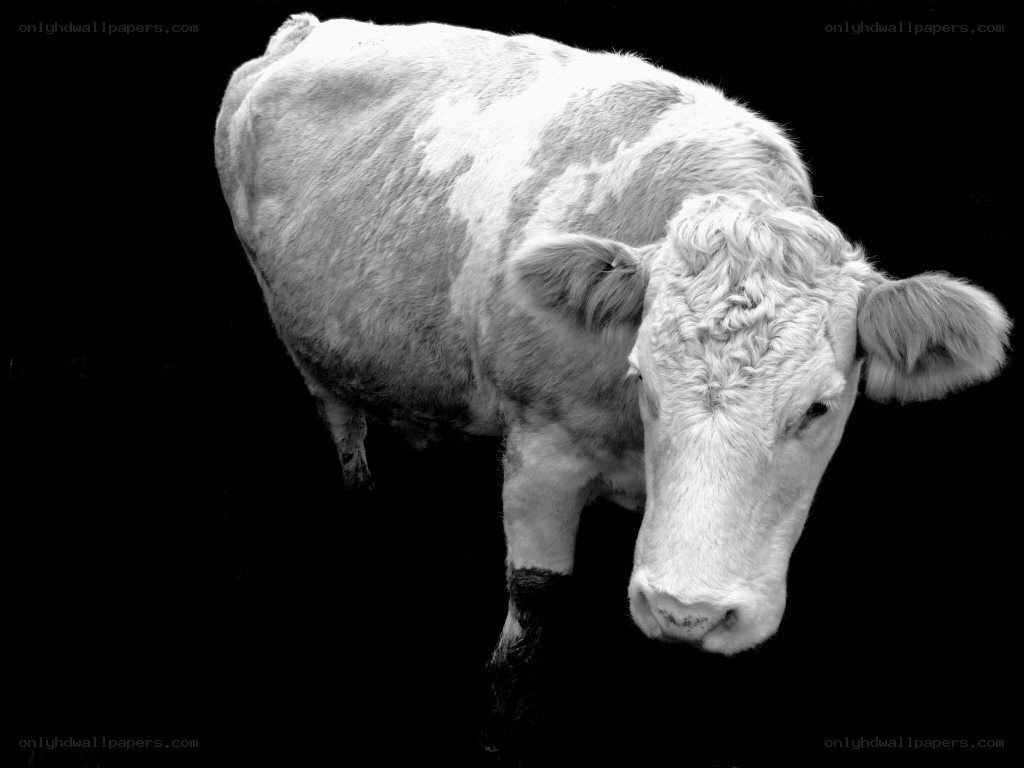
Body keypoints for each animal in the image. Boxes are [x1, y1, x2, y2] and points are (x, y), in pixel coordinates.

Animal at [215, 11, 1010, 695]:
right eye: (643, 381)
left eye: (819, 407)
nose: (688, 611)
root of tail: (310, 29)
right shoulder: (541, 447)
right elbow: (530, 613)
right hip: (296, 335)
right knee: (340, 423)